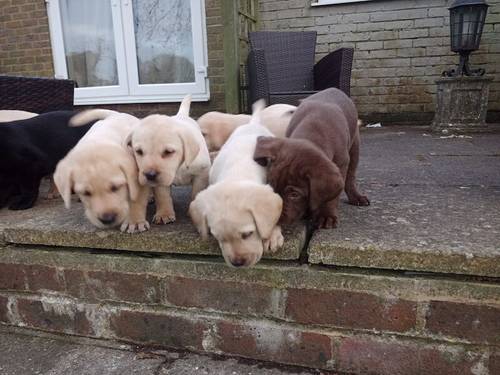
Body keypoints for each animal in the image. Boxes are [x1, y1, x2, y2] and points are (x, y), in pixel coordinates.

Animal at [127, 95, 211, 225]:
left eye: (168, 152)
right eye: (139, 151)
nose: (150, 175)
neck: (179, 165)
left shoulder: (202, 173)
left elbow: (197, 192)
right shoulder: (160, 180)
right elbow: (163, 196)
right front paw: (164, 214)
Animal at [188, 101, 284, 268]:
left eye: (248, 234)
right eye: (219, 238)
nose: (238, 263)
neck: (236, 173)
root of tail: (252, 123)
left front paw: (272, 236)